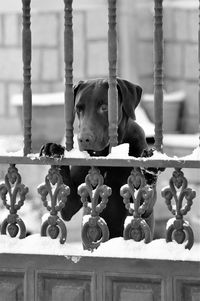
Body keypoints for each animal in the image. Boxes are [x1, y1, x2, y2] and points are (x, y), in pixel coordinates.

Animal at [40, 78, 155, 238]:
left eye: (104, 107)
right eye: (79, 108)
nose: (83, 139)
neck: (105, 156)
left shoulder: (144, 209)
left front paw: (149, 173)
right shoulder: (70, 205)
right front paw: (53, 148)